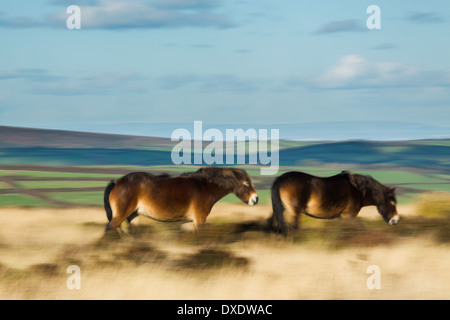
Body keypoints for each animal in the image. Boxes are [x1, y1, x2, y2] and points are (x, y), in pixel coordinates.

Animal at [102, 168, 256, 232]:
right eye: (246, 184)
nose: (255, 199)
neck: (203, 187)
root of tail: (117, 183)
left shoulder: (188, 222)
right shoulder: (200, 219)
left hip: (133, 216)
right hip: (120, 215)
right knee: (110, 229)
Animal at [268, 170, 400, 235]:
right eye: (393, 202)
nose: (396, 220)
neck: (357, 190)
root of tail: (281, 179)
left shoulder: (342, 217)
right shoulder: (349, 216)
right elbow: (358, 227)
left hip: (279, 210)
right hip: (295, 212)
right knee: (293, 227)